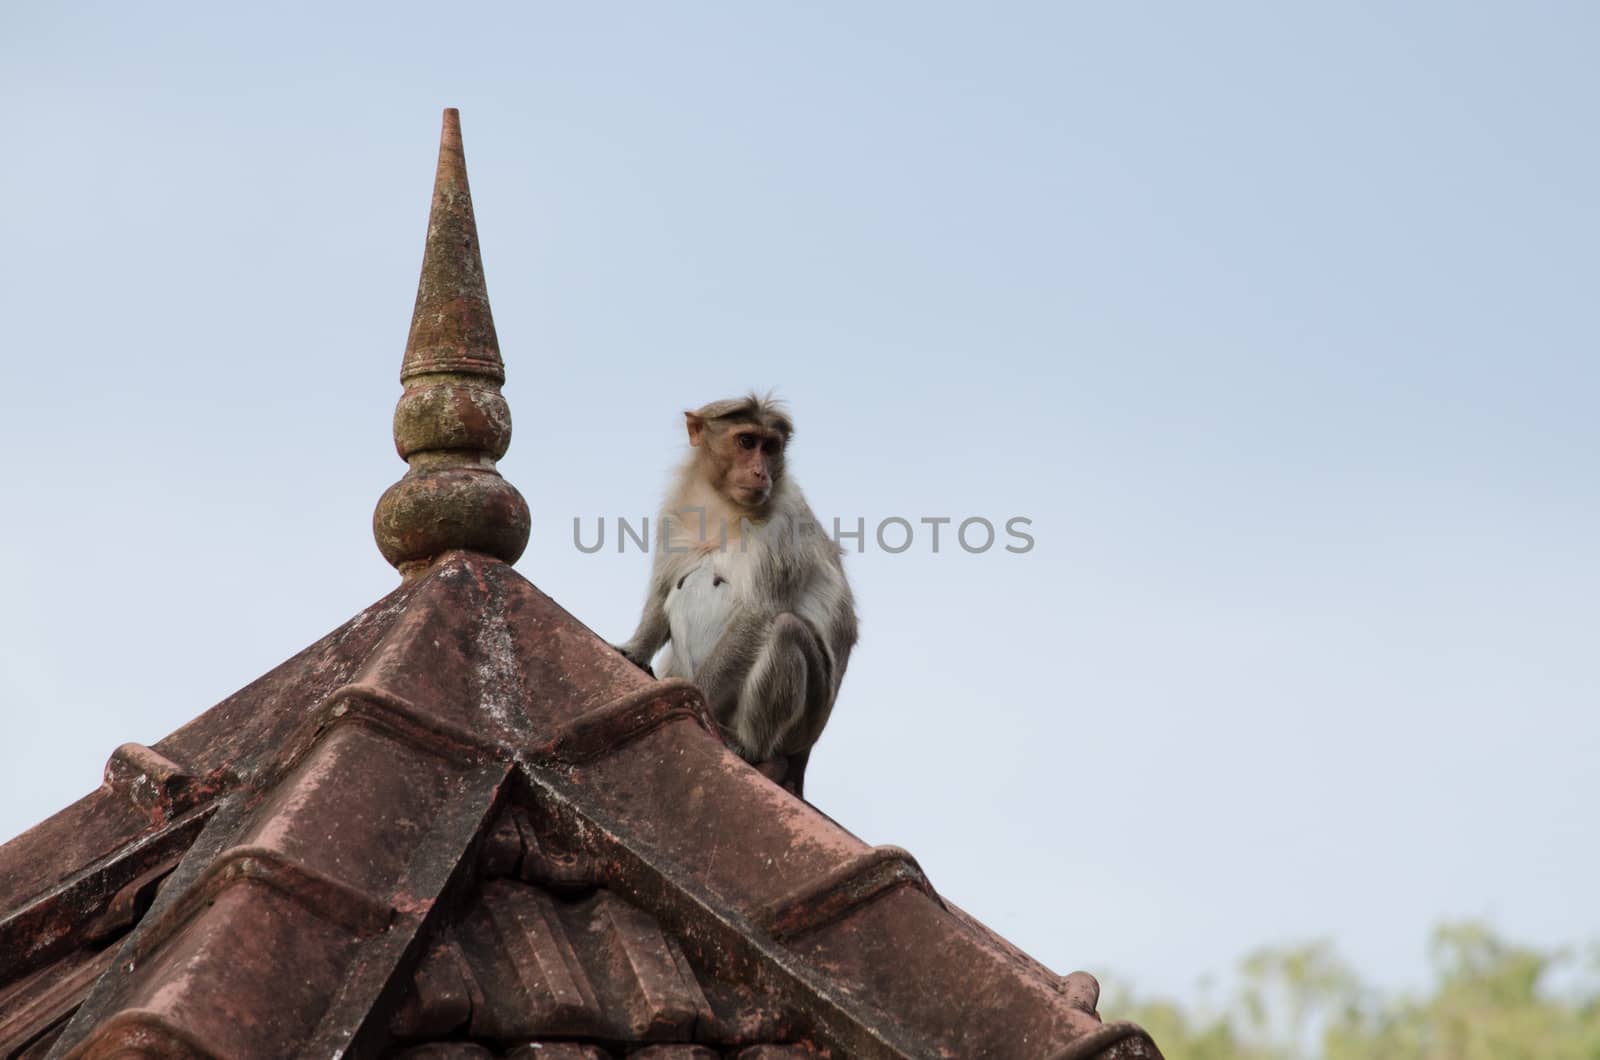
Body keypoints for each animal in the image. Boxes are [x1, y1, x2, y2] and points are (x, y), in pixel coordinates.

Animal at [617, 397, 857, 797]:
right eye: (746, 441)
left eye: (770, 447)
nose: (761, 473)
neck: (724, 506)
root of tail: (805, 753)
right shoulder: (675, 511)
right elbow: (664, 588)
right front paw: (634, 650)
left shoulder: (782, 525)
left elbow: (758, 613)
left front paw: (694, 693)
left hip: (802, 726)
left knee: (785, 630)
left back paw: (747, 746)